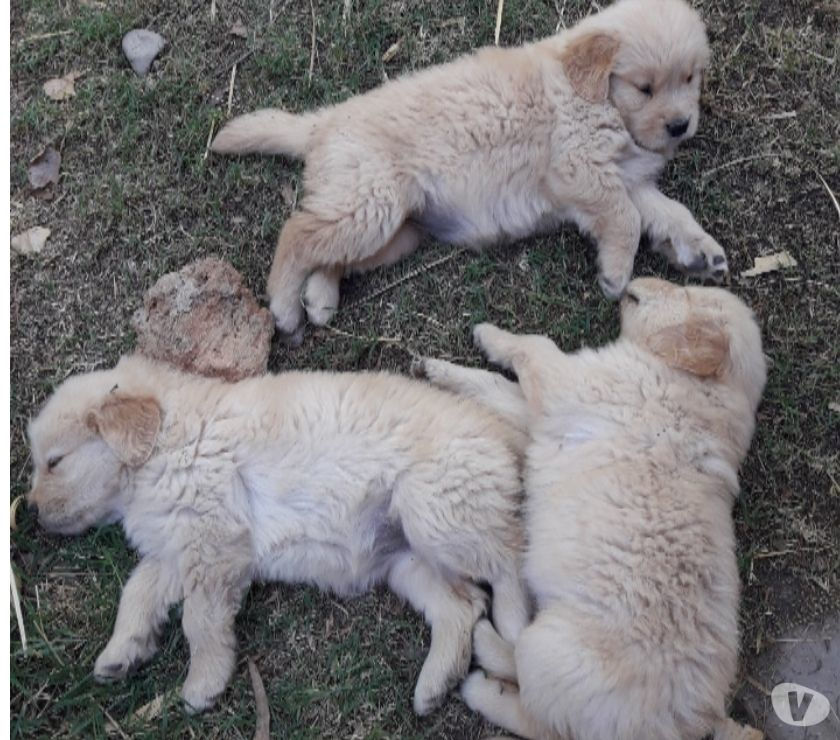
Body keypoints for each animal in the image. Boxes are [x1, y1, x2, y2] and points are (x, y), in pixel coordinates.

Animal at [26, 358, 528, 716]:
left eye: (54, 461)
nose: (30, 511)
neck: (165, 443)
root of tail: (506, 432)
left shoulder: (214, 542)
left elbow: (199, 620)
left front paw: (202, 685)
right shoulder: (176, 548)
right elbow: (137, 592)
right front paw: (121, 651)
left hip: (433, 510)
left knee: (509, 559)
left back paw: (512, 629)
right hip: (408, 560)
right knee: (463, 605)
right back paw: (434, 686)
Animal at [212, 0, 728, 340]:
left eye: (690, 77)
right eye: (645, 87)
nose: (680, 126)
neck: (593, 93)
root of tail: (323, 121)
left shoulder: (626, 177)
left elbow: (667, 212)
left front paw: (700, 250)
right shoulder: (577, 167)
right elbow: (627, 218)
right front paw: (616, 274)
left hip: (395, 230)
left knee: (327, 251)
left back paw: (319, 298)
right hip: (370, 204)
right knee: (297, 234)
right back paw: (284, 308)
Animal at [420, 278, 768, 740]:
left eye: (687, 293)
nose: (636, 281)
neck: (698, 387)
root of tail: (698, 719)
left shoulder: (571, 382)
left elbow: (535, 345)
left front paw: (488, 334)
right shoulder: (550, 415)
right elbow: (498, 388)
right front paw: (441, 370)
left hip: (552, 656)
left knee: (536, 716)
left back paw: (483, 667)